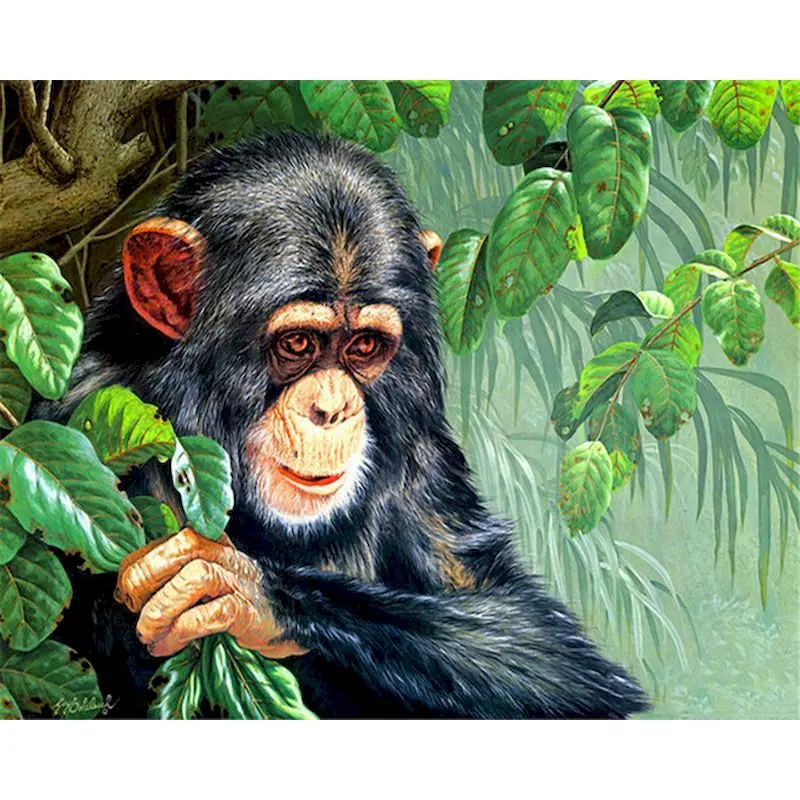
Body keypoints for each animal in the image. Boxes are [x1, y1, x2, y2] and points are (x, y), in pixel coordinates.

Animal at [40, 131, 649, 719]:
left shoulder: (422, 446)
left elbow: (543, 642)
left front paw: (246, 592)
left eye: (364, 346)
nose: (333, 408)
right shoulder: (96, 426)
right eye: (297, 343)